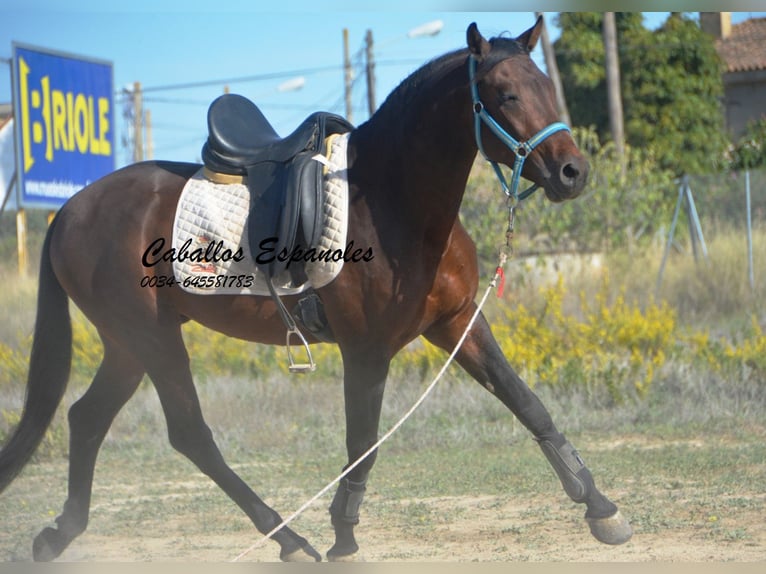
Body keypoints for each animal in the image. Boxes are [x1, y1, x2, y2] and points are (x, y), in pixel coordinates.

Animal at [0, 16, 632, 564]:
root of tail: (73, 208)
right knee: (189, 434)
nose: (574, 172)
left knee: (86, 419)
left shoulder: (456, 324)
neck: (394, 203)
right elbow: (363, 444)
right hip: (149, 338)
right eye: (504, 95)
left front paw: (600, 506)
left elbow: (527, 403)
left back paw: (60, 535)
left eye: (545, 86)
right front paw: (343, 537)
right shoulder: (367, 351)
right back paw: (288, 538)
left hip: (129, 345)